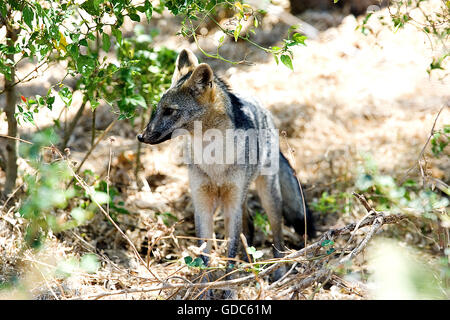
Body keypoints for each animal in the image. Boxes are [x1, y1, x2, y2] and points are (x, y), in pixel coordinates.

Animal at [135, 49, 314, 284]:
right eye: (157, 110)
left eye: (169, 111)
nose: (141, 136)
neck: (214, 160)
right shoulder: (202, 203)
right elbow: (204, 254)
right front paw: (205, 285)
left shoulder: (232, 203)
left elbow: (230, 251)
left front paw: (229, 284)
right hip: (242, 197)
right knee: (249, 224)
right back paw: (249, 264)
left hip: (267, 197)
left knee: (277, 237)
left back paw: (277, 271)